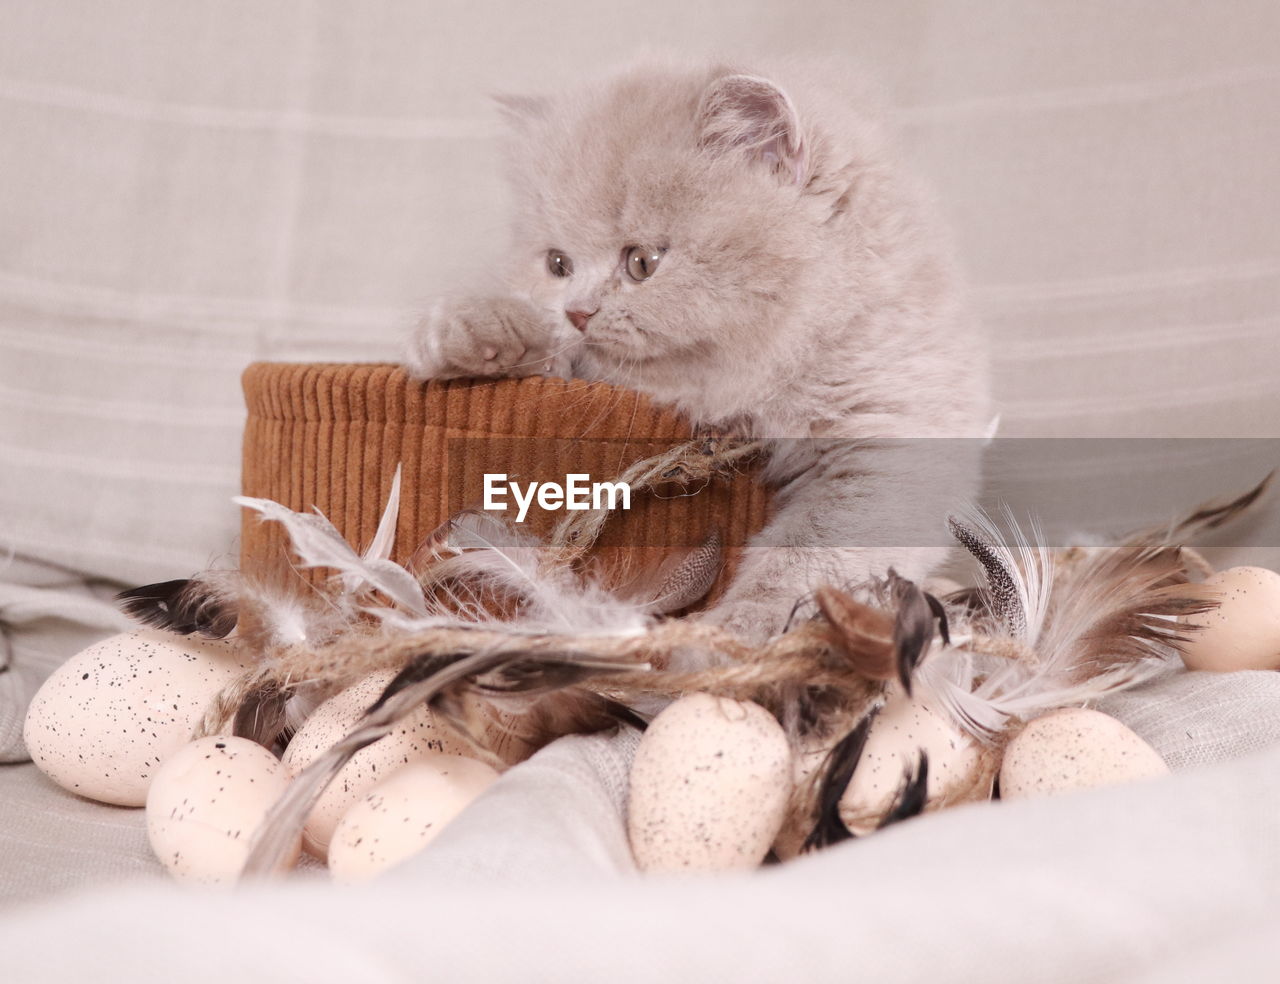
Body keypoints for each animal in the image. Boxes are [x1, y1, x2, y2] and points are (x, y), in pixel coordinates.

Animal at [407, 57, 988, 650]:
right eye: (557, 264)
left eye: (642, 262)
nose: (577, 313)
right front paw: (479, 331)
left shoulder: (887, 445)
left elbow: (808, 557)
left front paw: (740, 632)